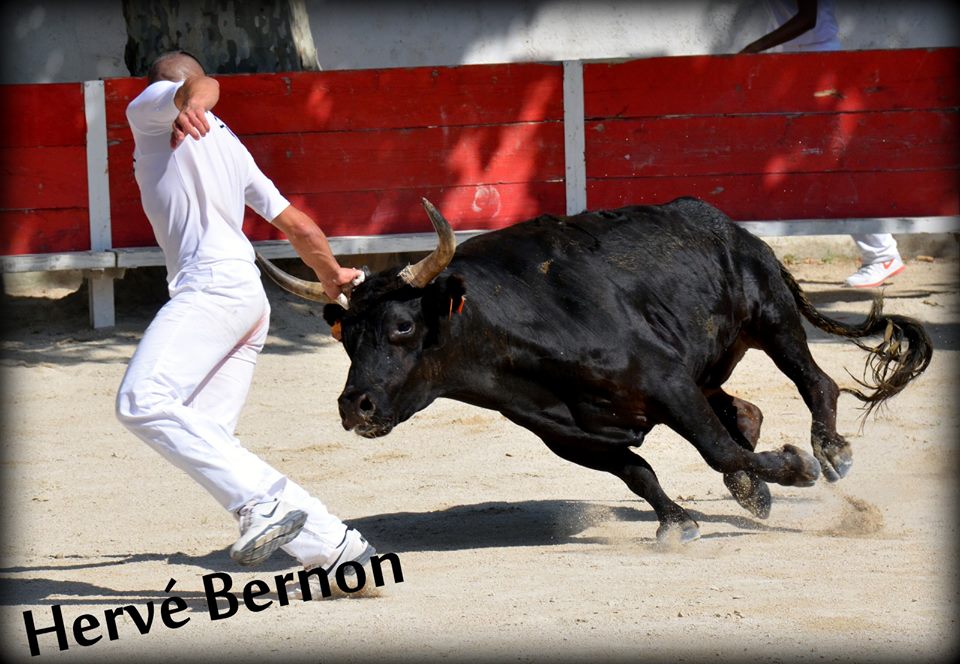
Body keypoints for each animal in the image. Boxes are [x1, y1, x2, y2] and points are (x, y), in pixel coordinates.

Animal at [255, 197, 928, 544]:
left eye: (401, 328)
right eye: (346, 340)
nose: (355, 406)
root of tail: (731, 228)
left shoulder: (669, 387)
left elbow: (714, 449)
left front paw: (793, 468)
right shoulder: (570, 434)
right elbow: (640, 473)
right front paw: (679, 523)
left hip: (770, 318)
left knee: (813, 383)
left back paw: (829, 454)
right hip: (714, 365)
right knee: (746, 411)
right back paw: (757, 490)